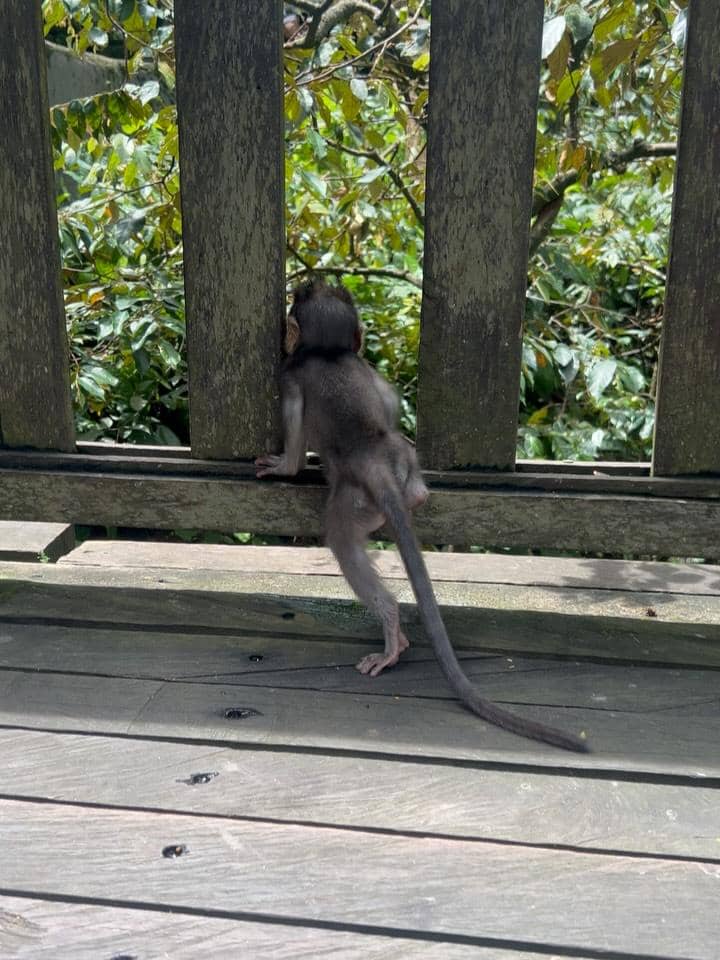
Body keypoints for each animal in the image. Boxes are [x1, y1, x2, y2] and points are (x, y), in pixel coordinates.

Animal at [256, 280, 588, 753]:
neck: (328, 353)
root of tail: (375, 465)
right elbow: (390, 398)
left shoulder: (289, 377)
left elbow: (295, 447)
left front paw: (282, 466)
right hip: (403, 456)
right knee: (403, 466)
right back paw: (414, 500)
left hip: (354, 500)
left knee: (341, 539)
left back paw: (391, 625)